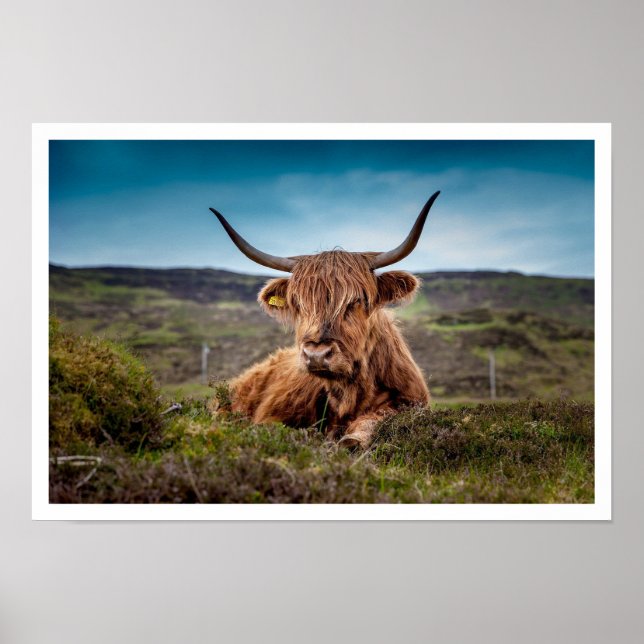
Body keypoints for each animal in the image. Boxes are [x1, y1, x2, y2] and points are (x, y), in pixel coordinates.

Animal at [209, 191, 440, 447]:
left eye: (357, 300)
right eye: (298, 303)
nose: (316, 354)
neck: (349, 394)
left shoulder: (410, 402)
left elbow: (375, 419)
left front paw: (352, 439)